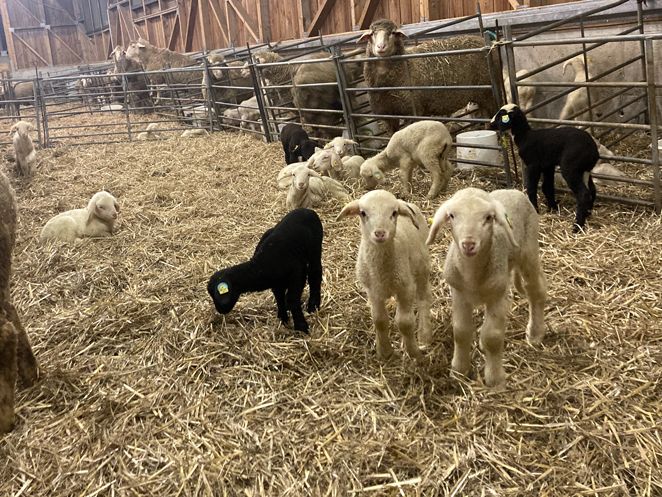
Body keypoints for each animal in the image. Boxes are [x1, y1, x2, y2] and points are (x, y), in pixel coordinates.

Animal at [338, 188, 436, 358]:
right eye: (363, 213)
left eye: (394, 213)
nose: (380, 233)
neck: (382, 271)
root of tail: (406, 202)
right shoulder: (373, 290)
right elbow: (379, 320)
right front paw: (384, 351)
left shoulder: (406, 288)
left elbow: (404, 322)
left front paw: (414, 353)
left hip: (422, 267)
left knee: (424, 297)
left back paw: (424, 336)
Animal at [360, 19, 496, 134]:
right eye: (372, 34)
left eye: (393, 33)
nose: (381, 47)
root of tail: (484, 41)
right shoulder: (387, 116)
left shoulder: (414, 111)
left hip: (488, 92)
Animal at [428, 188, 548, 386]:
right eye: (452, 216)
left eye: (488, 217)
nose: (468, 244)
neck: (472, 275)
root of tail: (513, 190)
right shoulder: (459, 294)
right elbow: (461, 331)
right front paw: (459, 371)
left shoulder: (498, 296)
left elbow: (493, 336)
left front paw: (495, 380)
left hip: (529, 251)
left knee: (535, 290)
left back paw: (535, 334)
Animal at [490, 103, 604, 232]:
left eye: (501, 115)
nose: (490, 124)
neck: (524, 136)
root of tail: (593, 150)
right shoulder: (547, 165)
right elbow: (547, 187)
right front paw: (552, 208)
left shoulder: (533, 164)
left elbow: (531, 187)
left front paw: (535, 208)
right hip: (584, 170)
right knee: (592, 190)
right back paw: (587, 214)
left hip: (570, 167)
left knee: (583, 194)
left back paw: (577, 227)